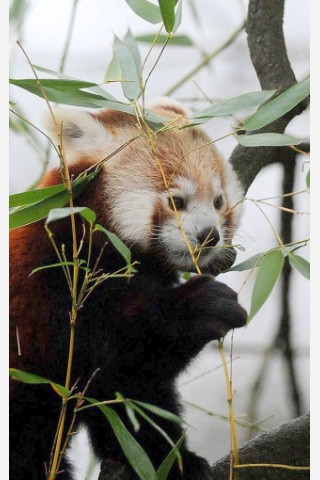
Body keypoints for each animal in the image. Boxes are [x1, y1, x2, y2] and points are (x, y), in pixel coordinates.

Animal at [9, 98, 245, 480]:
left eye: (218, 201)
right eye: (177, 201)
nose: (208, 236)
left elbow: (134, 401)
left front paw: (170, 460)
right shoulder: (54, 286)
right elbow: (115, 360)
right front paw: (204, 307)